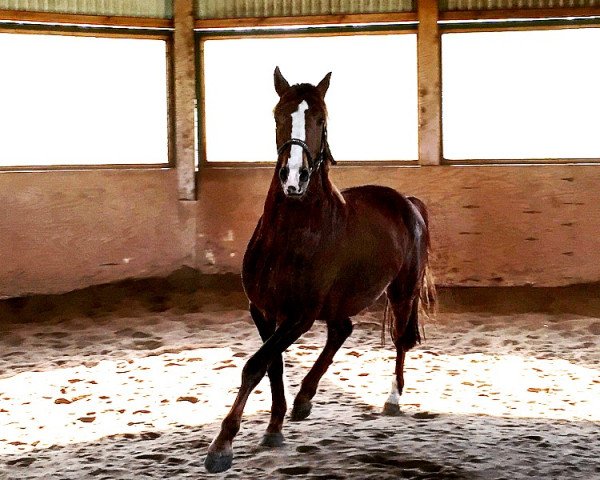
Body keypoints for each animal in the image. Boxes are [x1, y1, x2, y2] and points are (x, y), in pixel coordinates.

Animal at [204, 67, 434, 472]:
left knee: (401, 340)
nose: (293, 178)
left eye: (321, 119)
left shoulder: (300, 315)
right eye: (278, 116)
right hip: (340, 302)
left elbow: (255, 365)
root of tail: (407, 202)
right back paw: (304, 400)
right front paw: (274, 429)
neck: (291, 234)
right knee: (342, 330)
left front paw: (222, 446)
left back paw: (392, 400)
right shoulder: (263, 310)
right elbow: (273, 365)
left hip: (402, 291)